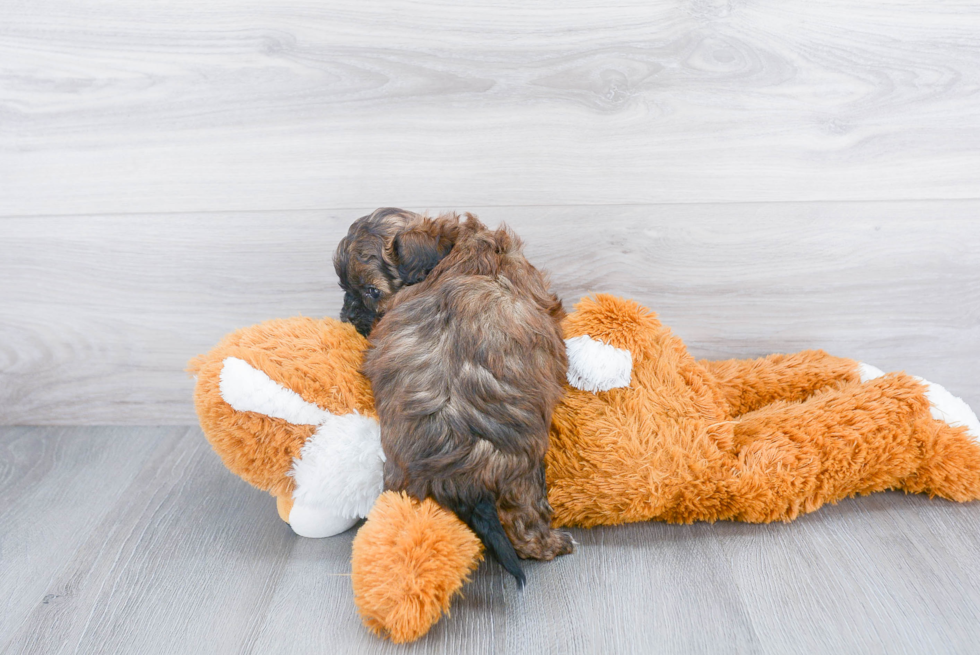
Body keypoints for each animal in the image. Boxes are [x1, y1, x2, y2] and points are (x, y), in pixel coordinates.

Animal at [360, 214, 576, 584]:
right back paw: (554, 544)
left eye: (371, 291)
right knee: (526, 526)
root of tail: (460, 476)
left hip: (405, 483)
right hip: (523, 478)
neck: (466, 252)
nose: (347, 315)